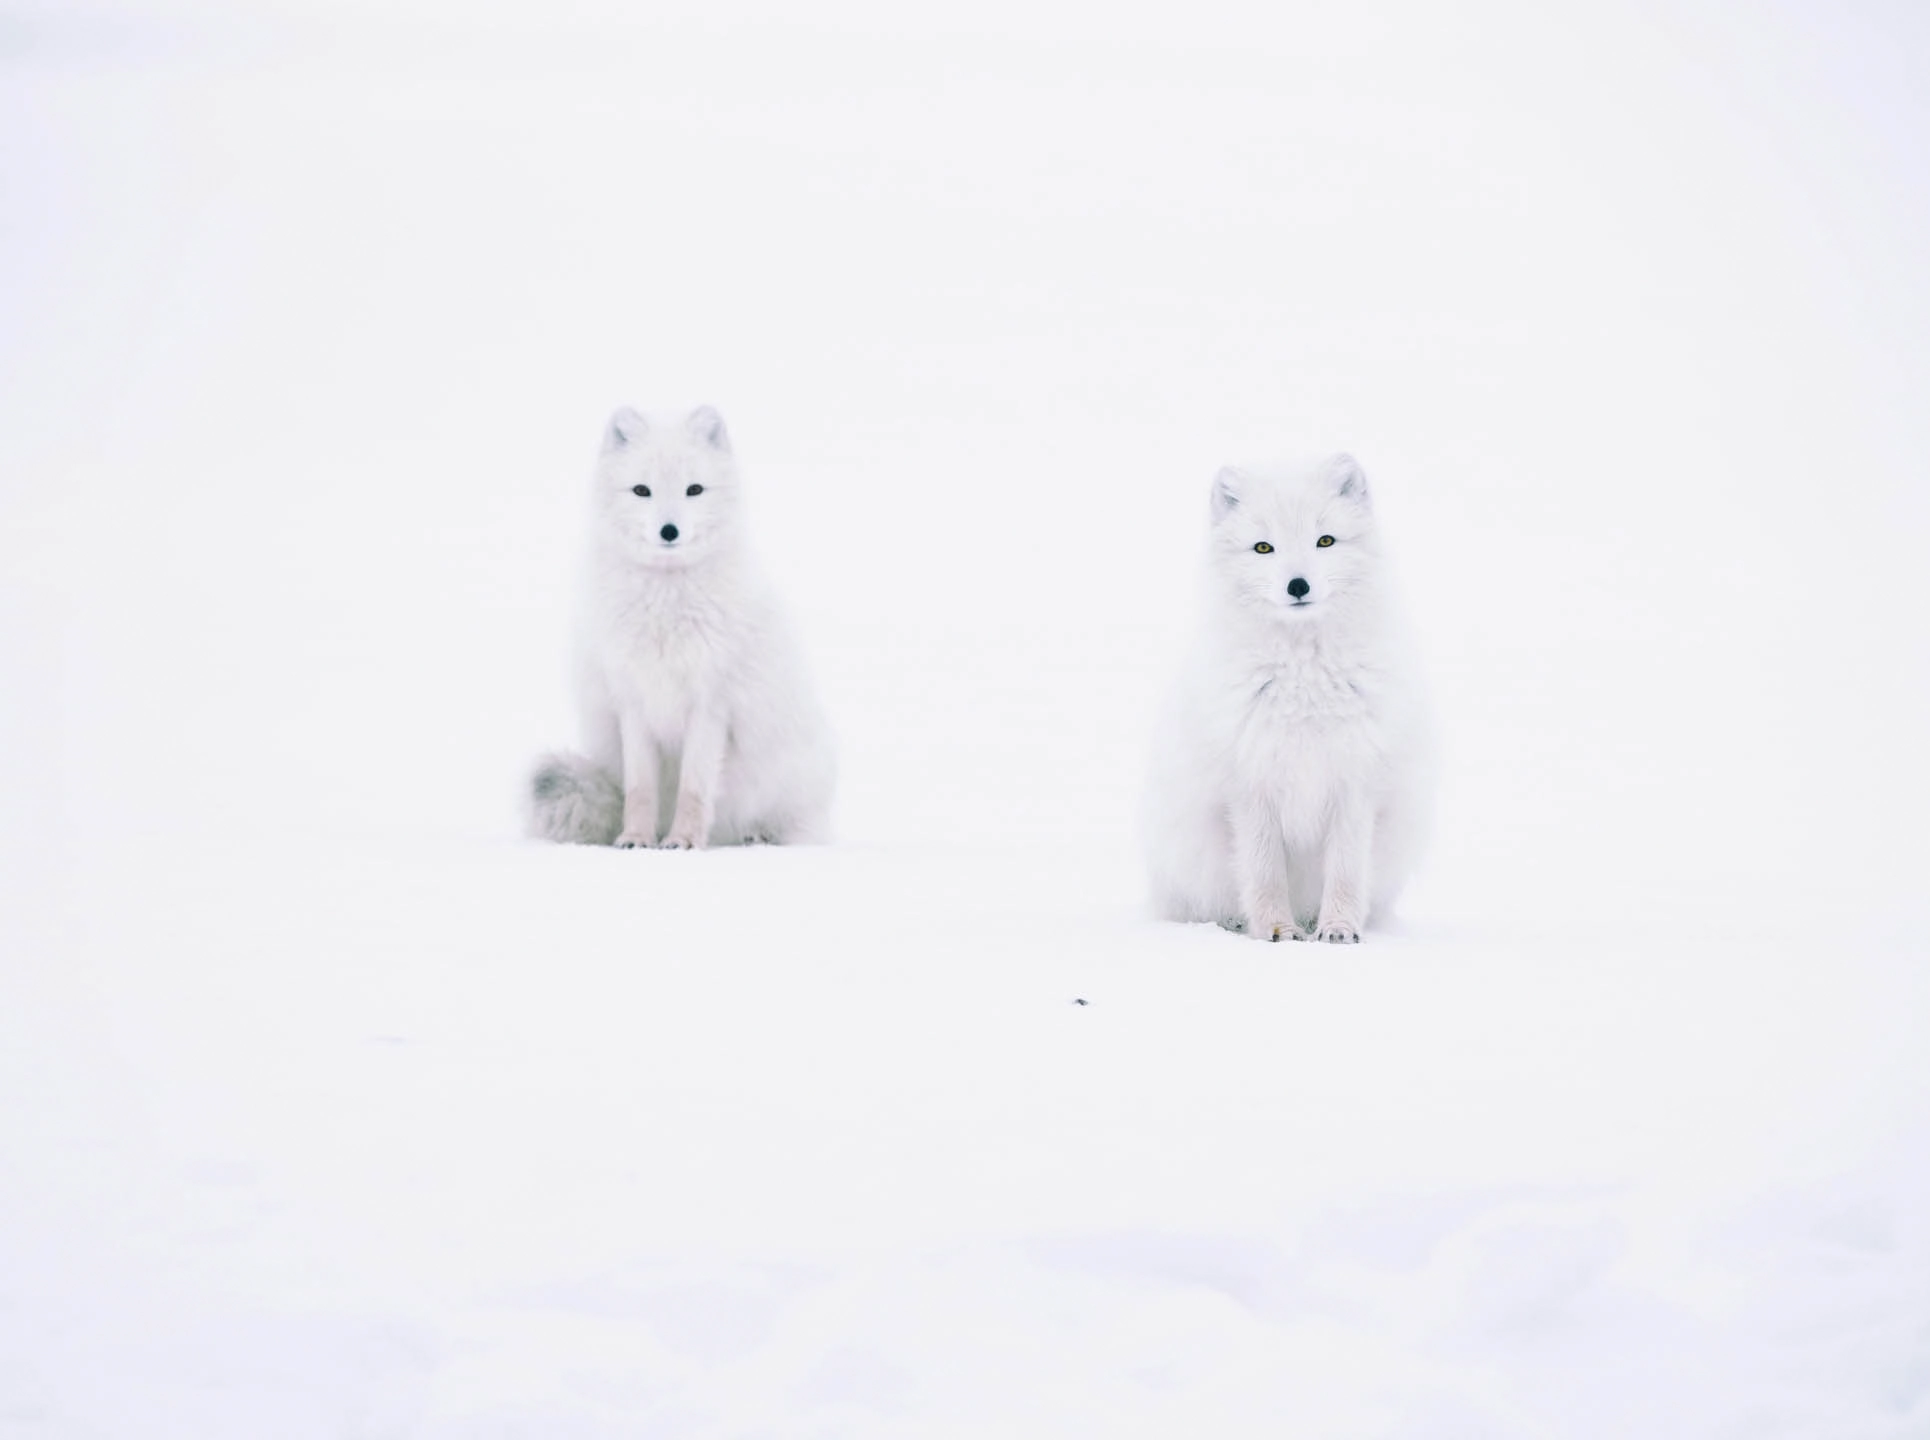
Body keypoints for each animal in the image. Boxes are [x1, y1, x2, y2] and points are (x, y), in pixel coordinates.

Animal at [525, 405, 836, 849]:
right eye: (642, 490)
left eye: (694, 490)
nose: (669, 531)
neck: (666, 604)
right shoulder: (633, 704)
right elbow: (639, 789)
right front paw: (637, 837)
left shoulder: (709, 705)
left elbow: (695, 788)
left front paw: (684, 841)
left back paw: (759, 836)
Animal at [1142, 452, 1434, 942]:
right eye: (1264, 548)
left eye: (1325, 540)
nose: (1298, 585)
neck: (1304, 679)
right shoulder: (1252, 783)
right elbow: (1263, 870)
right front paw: (1276, 930)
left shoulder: (1354, 779)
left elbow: (1346, 870)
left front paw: (1338, 928)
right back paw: (1238, 923)